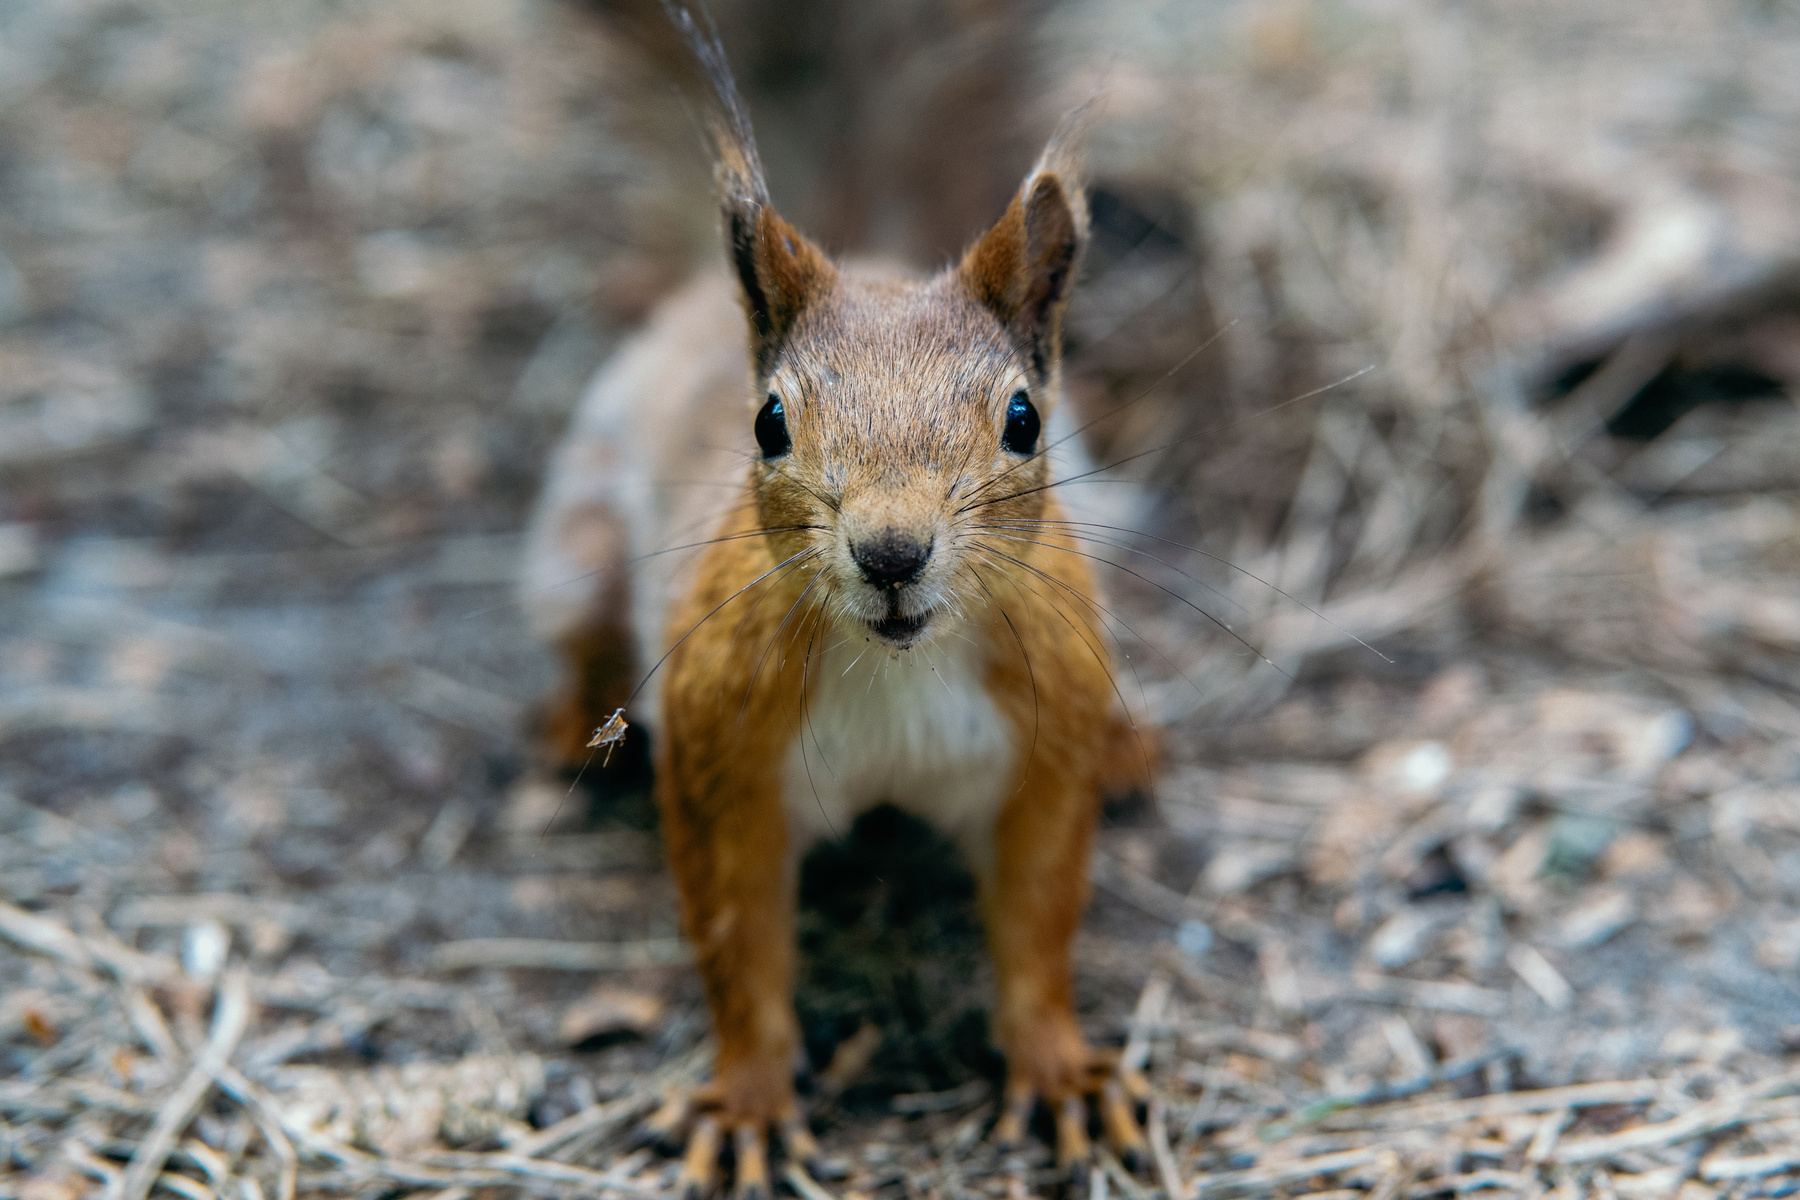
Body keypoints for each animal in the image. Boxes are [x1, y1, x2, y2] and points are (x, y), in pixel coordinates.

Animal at [521, 9, 1158, 1195]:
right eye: (768, 422)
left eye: (1023, 419)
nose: (892, 552)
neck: (900, 670)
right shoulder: (721, 756)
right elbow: (736, 946)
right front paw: (746, 1101)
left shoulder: (1042, 750)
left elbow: (1040, 924)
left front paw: (1062, 1071)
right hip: (576, 549)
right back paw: (568, 728)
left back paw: (1134, 744)